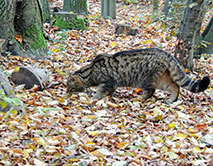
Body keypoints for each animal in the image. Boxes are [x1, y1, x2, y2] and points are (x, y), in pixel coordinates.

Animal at [66, 47, 210, 103]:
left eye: (70, 87)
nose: (67, 92)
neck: (91, 71)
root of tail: (165, 53)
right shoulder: (112, 84)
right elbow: (110, 92)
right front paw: (110, 97)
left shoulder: (108, 81)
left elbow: (100, 91)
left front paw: (95, 98)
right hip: (162, 80)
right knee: (175, 87)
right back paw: (171, 100)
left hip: (147, 79)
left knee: (151, 91)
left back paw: (142, 99)